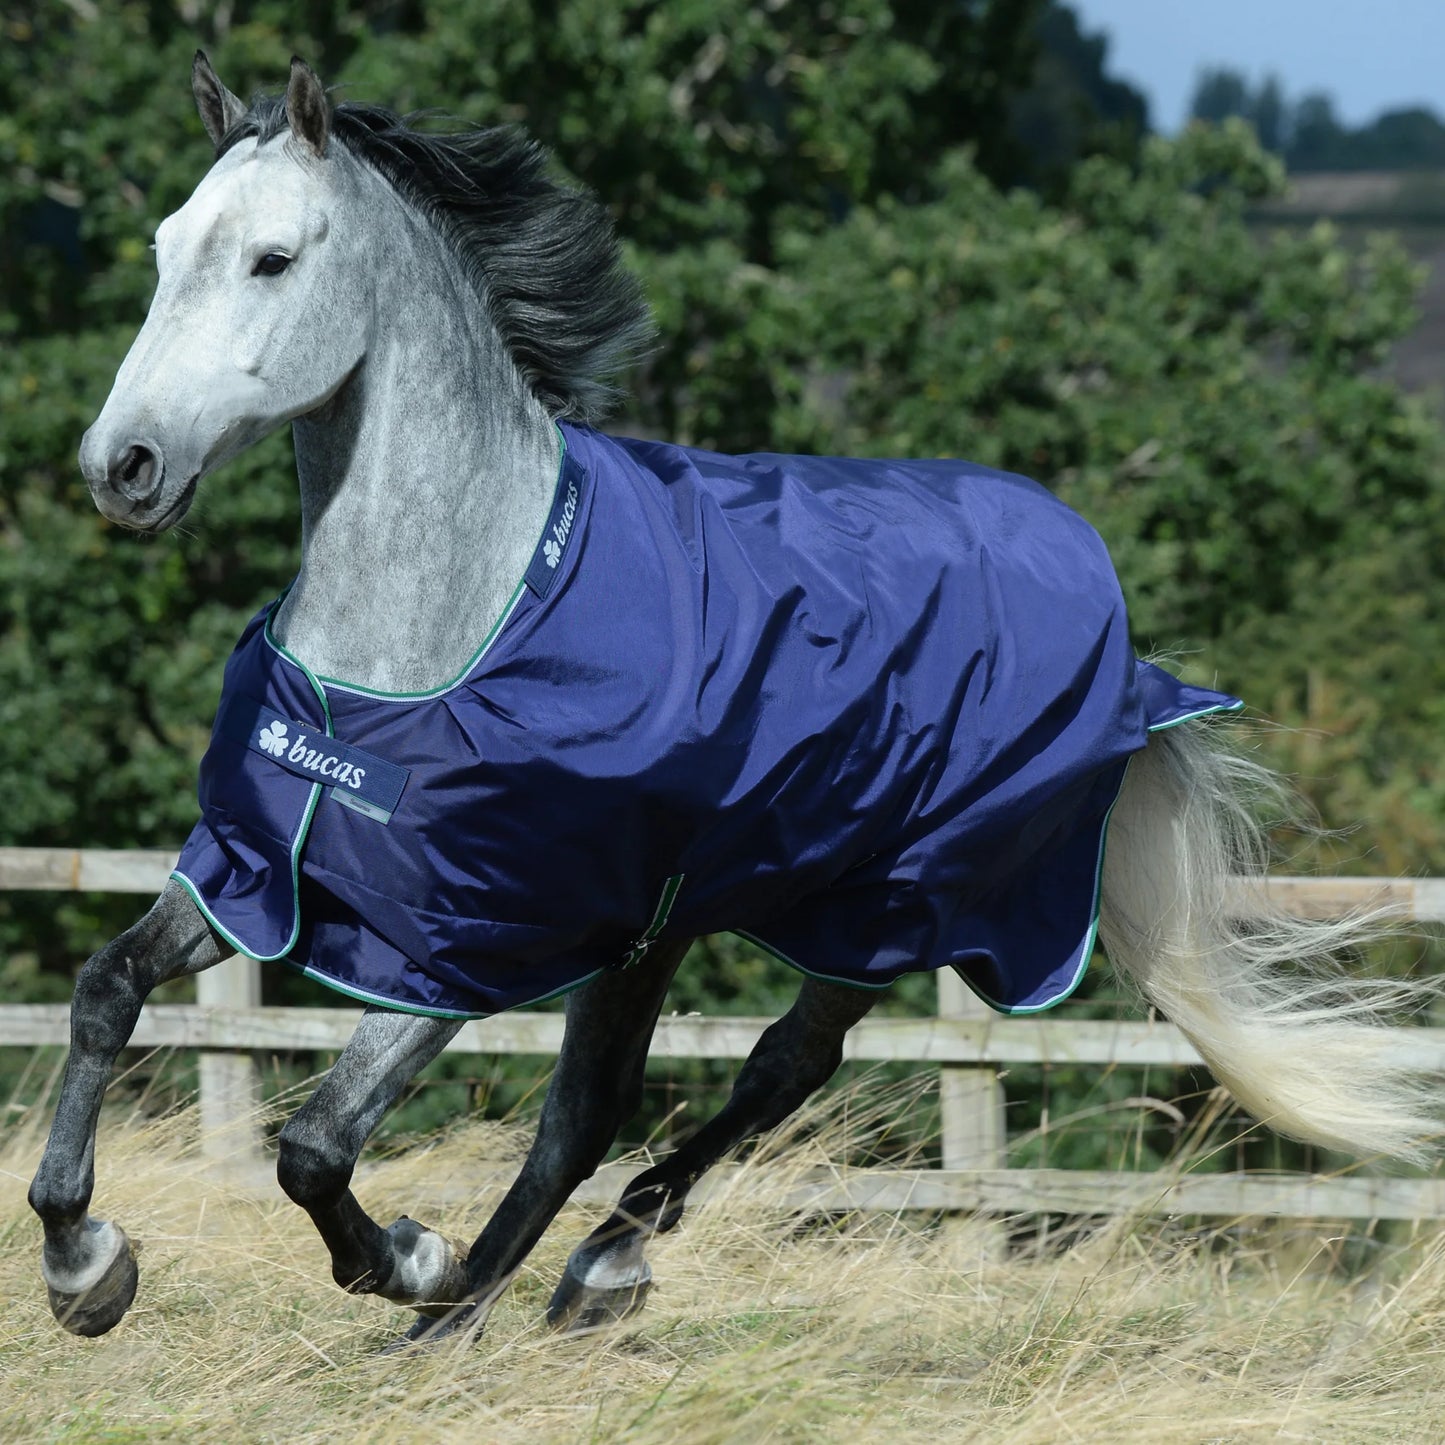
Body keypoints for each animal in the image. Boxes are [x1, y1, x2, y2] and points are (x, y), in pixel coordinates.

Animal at [30, 53, 1438, 1349]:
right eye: (163, 249)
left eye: (271, 259)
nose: (121, 465)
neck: (441, 628)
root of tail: (1115, 623)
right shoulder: (261, 869)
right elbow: (106, 985)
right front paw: (82, 1260)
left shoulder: (469, 941)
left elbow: (313, 1143)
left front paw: (402, 1255)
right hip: (665, 926)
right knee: (590, 1111)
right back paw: (482, 1307)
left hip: (883, 901)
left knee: (771, 1069)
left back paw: (555, 1276)